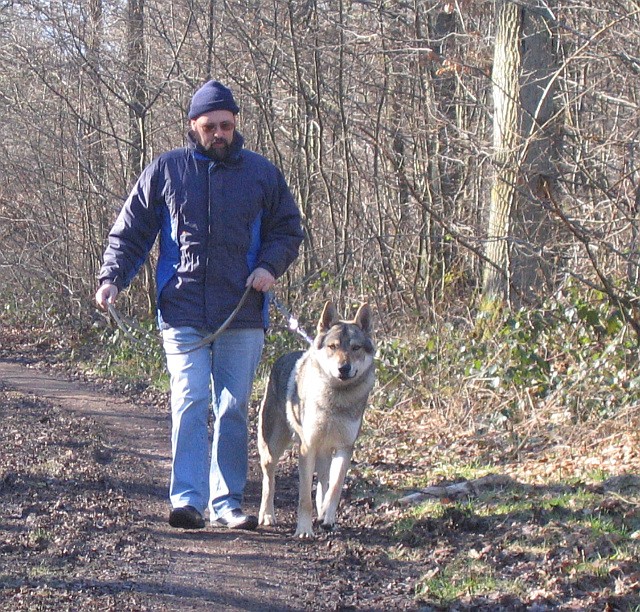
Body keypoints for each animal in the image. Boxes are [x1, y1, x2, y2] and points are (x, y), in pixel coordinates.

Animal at [258, 302, 376, 536]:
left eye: (355, 348)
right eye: (333, 346)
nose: (343, 368)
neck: (337, 398)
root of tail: (281, 358)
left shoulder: (345, 448)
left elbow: (335, 487)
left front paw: (328, 517)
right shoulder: (307, 447)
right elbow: (304, 498)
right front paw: (304, 530)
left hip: (325, 451)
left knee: (323, 480)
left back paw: (322, 513)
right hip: (272, 449)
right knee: (269, 480)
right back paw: (267, 516)